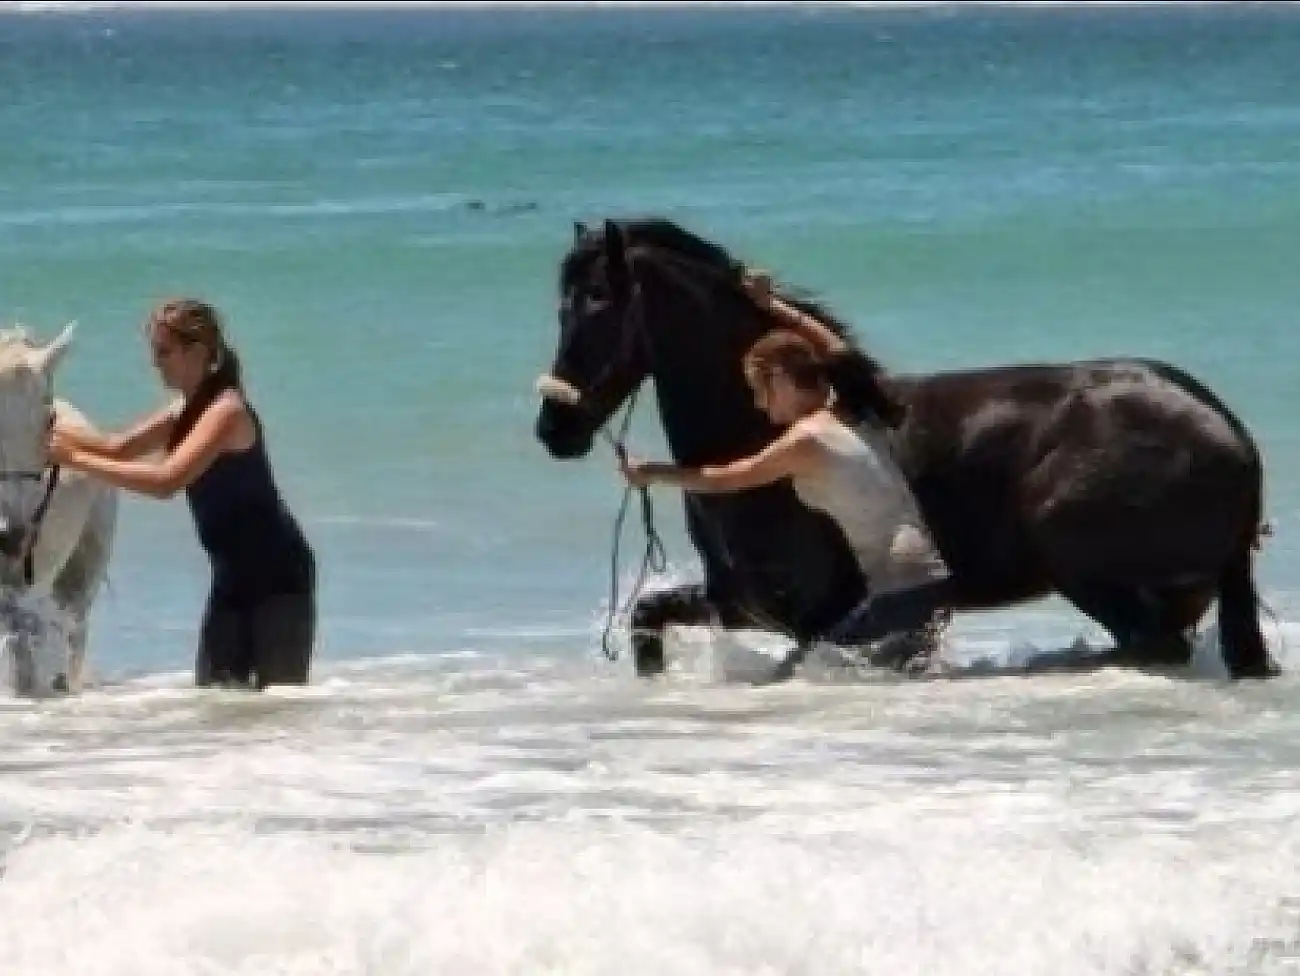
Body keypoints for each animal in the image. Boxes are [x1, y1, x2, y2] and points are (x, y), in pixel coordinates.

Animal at [534, 217, 1278, 681]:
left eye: (598, 302)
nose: (554, 428)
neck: (759, 436)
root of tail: (1224, 427)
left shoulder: (812, 616)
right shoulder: (739, 599)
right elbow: (645, 618)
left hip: (1087, 571)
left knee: (1148, 645)